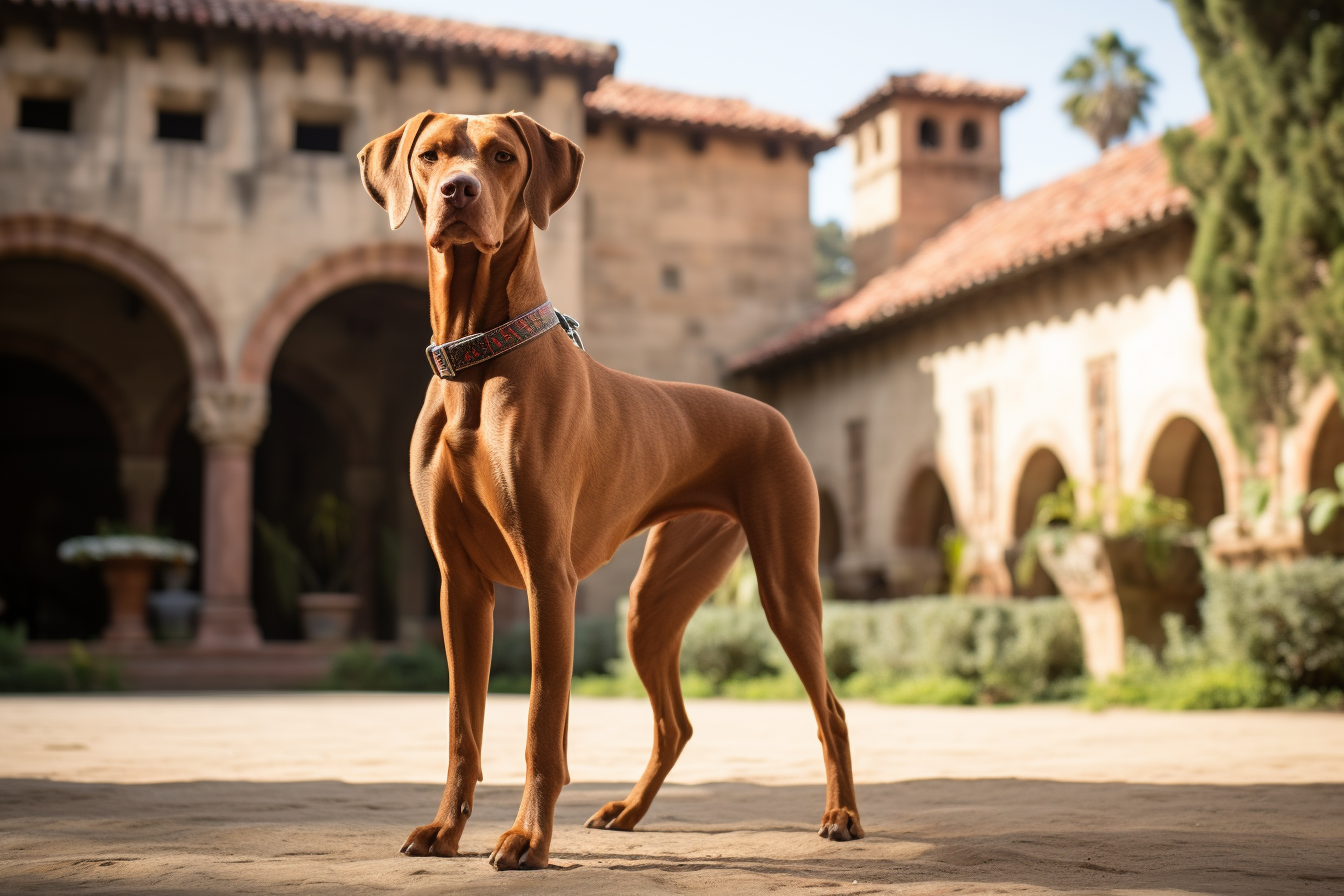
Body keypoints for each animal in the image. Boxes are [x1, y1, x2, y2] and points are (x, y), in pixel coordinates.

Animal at [357, 110, 860, 870]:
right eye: (432, 155)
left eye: (502, 156)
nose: (458, 191)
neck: (477, 362)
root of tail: (770, 414)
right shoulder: (460, 584)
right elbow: (462, 727)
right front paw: (446, 830)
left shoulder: (548, 576)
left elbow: (541, 725)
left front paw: (528, 839)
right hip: (651, 606)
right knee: (676, 723)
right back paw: (627, 811)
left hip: (786, 588)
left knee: (830, 708)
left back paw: (841, 815)